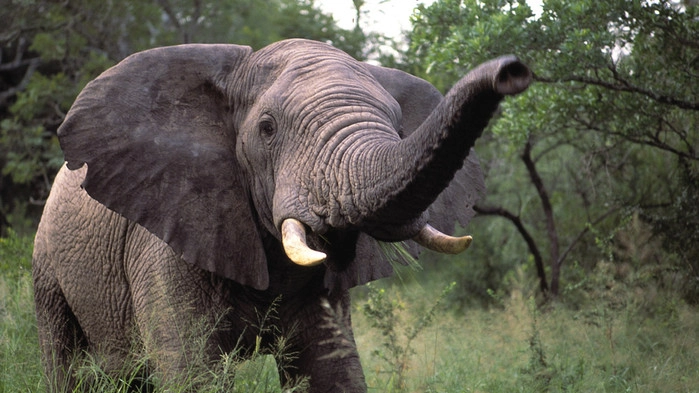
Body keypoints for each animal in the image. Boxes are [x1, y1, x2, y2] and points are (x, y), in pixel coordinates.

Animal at [31, 38, 532, 390]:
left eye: (398, 123)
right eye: (267, 128)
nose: (514, 70)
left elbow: (333, 371)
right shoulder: (165, 239)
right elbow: (193, 371)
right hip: (47, 268)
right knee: (65, 362)